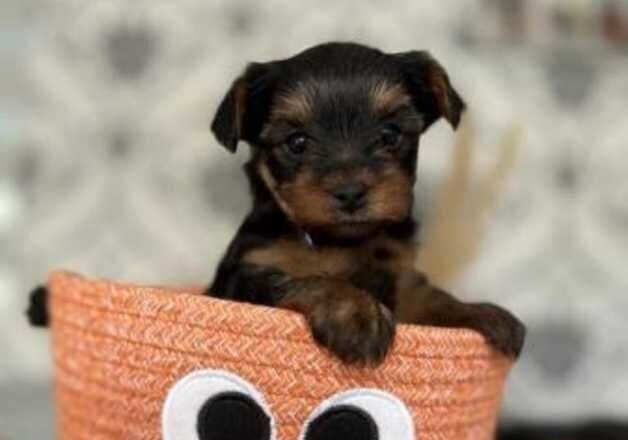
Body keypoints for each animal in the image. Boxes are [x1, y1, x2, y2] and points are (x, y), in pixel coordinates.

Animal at [207, 42, 524, 364]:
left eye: (390, 134)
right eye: (297, 142)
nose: (350, 192)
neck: (342, 242)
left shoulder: (400, 275)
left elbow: (426, 294)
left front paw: (478, 311)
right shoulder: (247, 276)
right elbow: (303, 280)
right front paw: (358, 315)